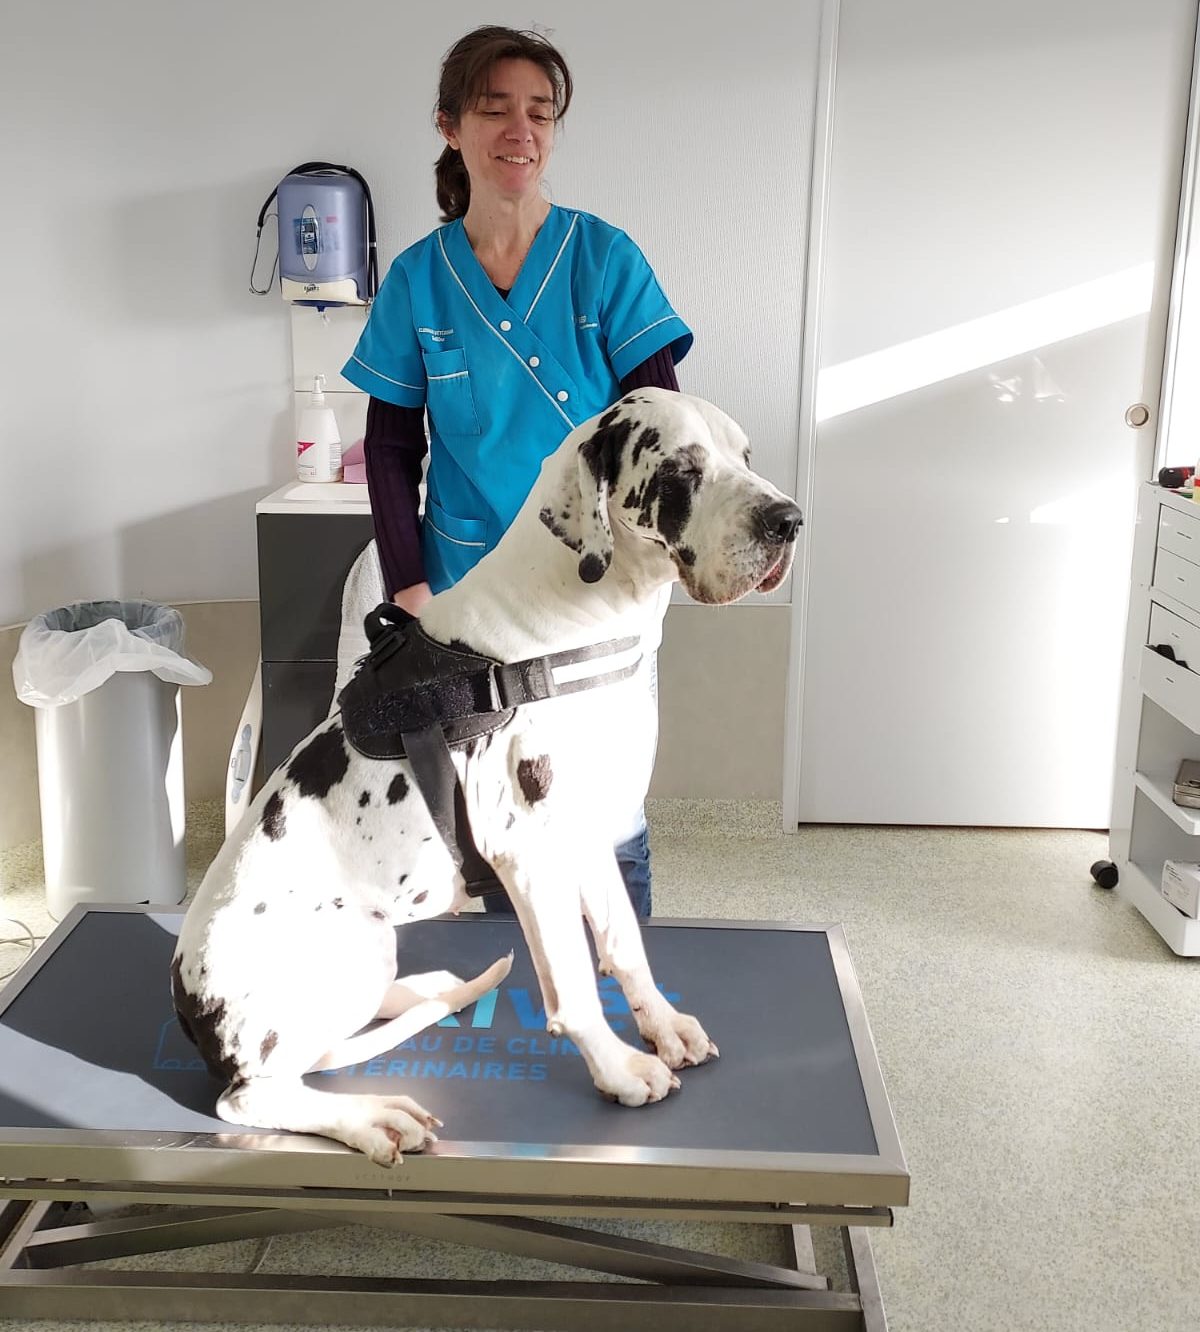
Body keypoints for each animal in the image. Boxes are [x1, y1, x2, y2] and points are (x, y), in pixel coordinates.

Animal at [168, 388, 799, 1166]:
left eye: (745, 456)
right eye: (683, 469)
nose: (789, 520)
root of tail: (194, 1018)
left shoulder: (589, 834)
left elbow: (624, 943)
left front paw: (662, 1024)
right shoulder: (529, 854)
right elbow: (572, 985)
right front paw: (618, 1068)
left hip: (371, 952)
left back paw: (429, 990)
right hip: (337, 961)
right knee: (255, 1094)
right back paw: (372, 1116)